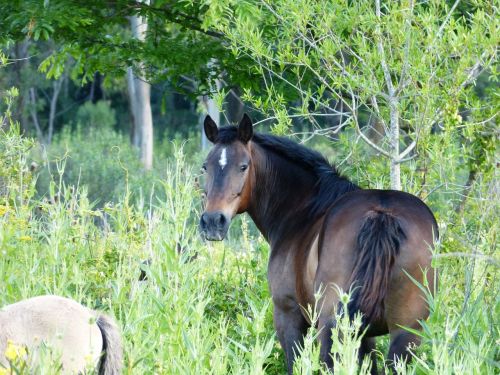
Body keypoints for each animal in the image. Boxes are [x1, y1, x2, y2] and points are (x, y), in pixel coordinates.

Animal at [199, 114, 438, 374]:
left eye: (243, 166)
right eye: (206, 167)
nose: (212, 221)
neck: (303, 209)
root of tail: (381, 214)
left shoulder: (288, 317)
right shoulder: (367, 336)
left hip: (332, 325)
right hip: (404, 333)